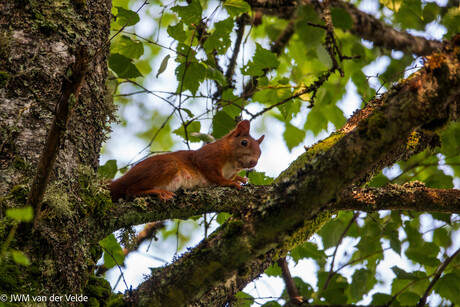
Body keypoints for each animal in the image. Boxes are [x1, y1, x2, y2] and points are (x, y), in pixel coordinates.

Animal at [109, 120, 264, 202]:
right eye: (244, 142)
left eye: (260, 153)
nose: (254, 162)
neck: (231, 165)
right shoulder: (207, 156)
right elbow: (214, 175)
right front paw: (229, 183)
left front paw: (240, 179)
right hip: (165, 166)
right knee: (130, 189)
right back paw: (156, 192)